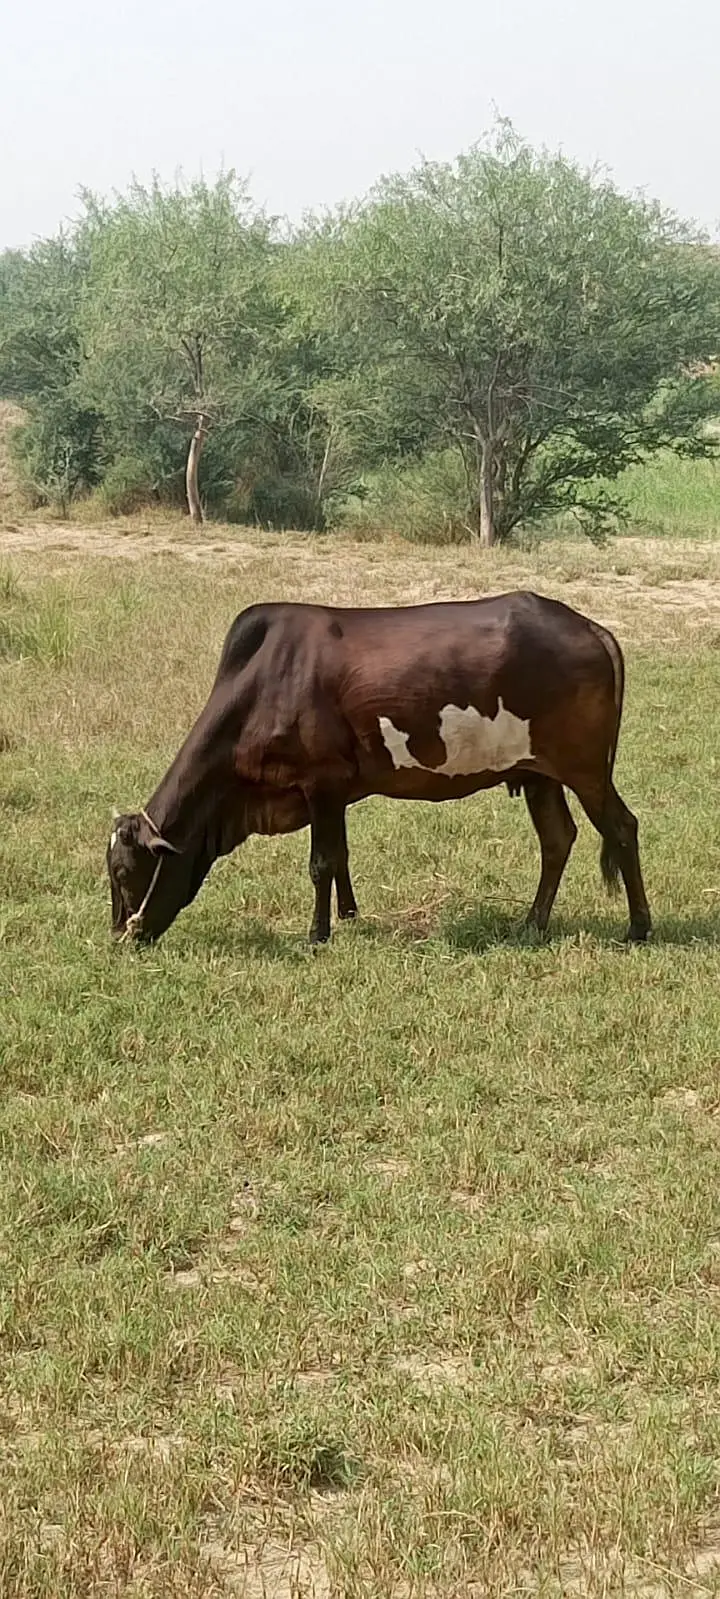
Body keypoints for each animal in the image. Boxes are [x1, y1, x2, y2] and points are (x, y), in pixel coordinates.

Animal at [106, 592, 651, 949]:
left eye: (123, 871)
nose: (121, 936)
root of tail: (590, 627)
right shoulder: (331, 793)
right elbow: (341, 856)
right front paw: (348, 916)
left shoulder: (320, 783)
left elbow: (321, 862)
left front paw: (317, 934)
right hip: (539, 774)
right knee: (557, 839)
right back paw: (532, 924)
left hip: (585, 770)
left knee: (622, 827)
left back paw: (639, 927)